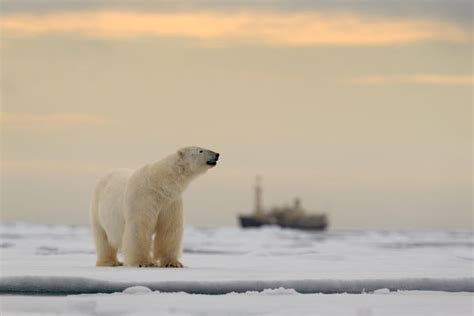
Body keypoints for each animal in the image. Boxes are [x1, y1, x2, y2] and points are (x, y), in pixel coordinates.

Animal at [90, 147, 219, 268]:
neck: (158, 184)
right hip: (97, 208)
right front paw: (144, 262)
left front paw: (173, 263)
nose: (217, 154)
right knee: (103, 238)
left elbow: (169, 228)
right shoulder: (143, 199)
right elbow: (140, 227)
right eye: (200, 150)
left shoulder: (170, 202)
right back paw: (110, 262)